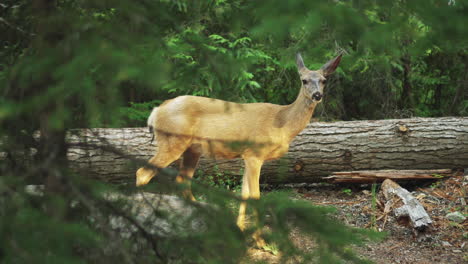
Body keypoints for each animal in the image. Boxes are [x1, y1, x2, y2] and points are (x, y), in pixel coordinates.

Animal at [135, 52, 340, 246]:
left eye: (323, 80)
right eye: (303, 80)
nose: (317, 95)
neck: (282, 123)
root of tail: (156, 111)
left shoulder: (246, 156)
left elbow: (244, 192)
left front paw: (240, 230)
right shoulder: (255, 154)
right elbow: (255, 195)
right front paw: (260, 241)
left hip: (192, 150)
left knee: (181, 180)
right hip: (172, 142)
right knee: (142, 173)